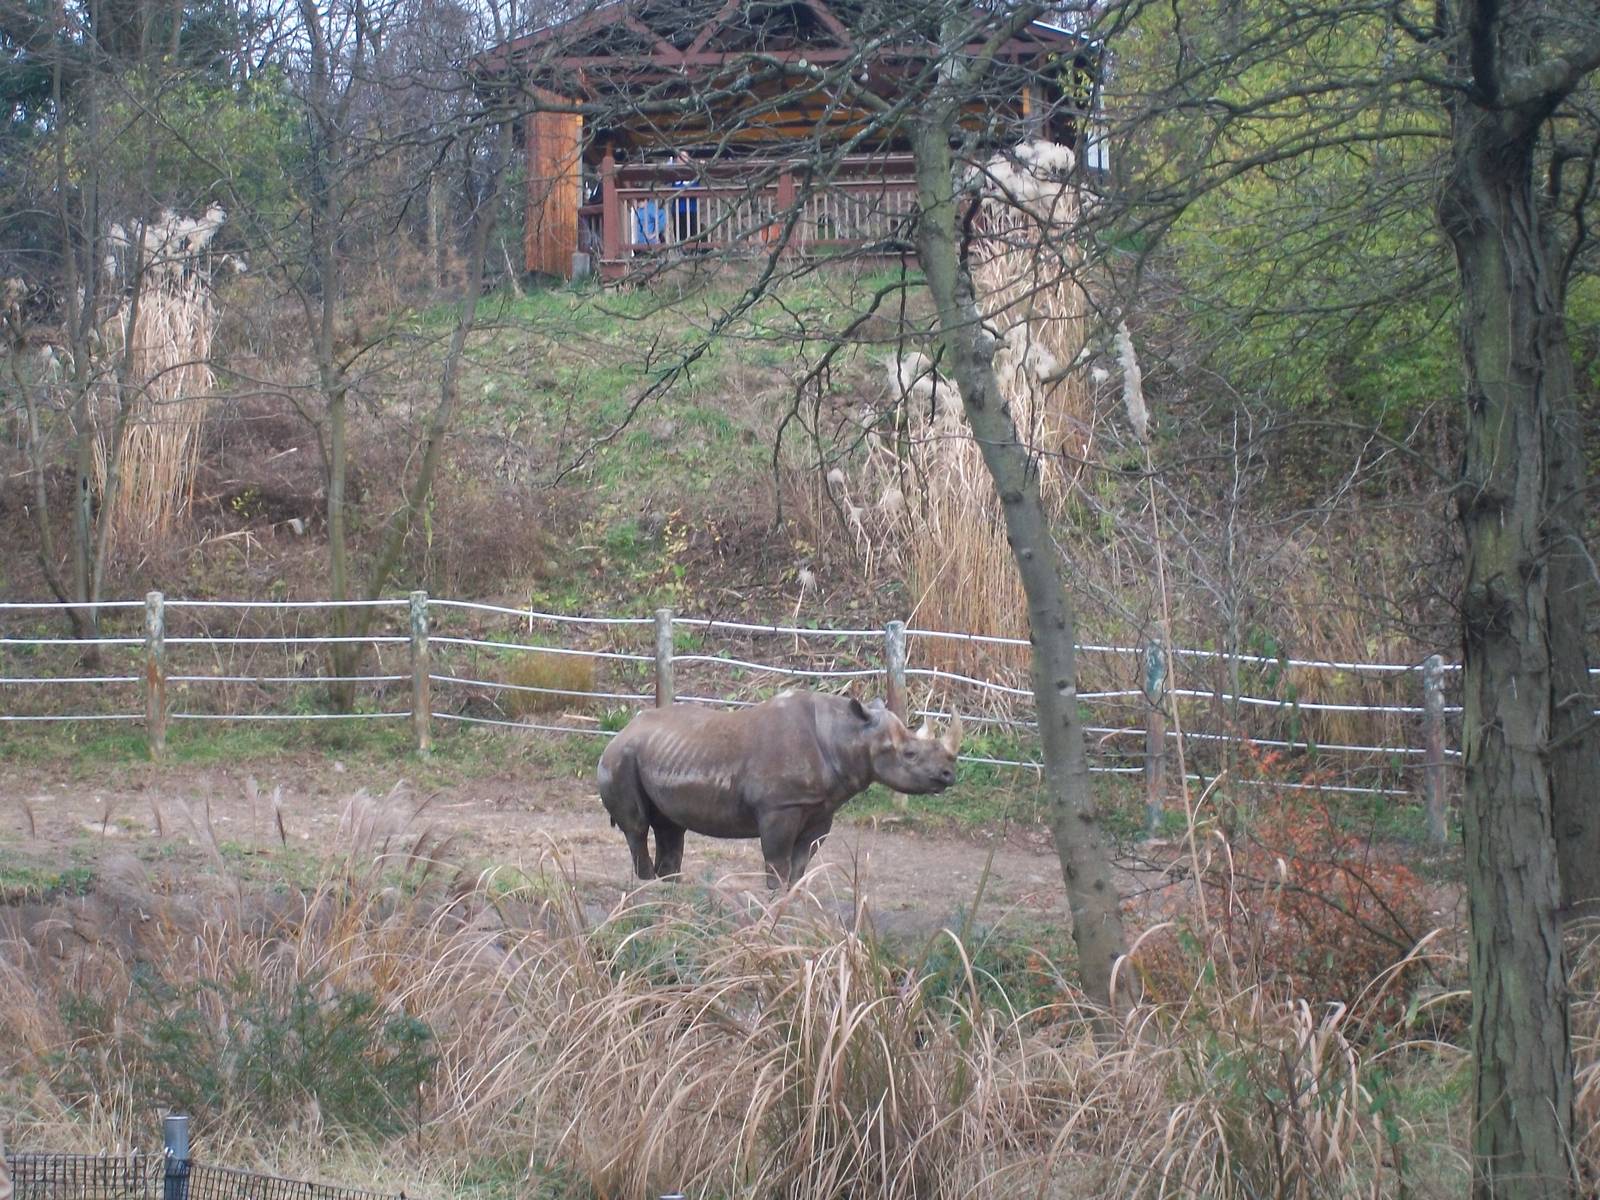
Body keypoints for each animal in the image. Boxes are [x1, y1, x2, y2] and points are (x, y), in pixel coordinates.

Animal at [596, 690, 962, 887]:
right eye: (909, 754)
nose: (949, 775)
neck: (847, 734)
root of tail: (622, 731)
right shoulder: (780, 806)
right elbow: (776, 862)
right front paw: (772, 906)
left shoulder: (821, 808)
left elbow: (800, 865)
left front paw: (792, 903)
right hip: (620, 758)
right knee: (637, 826)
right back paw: (647, 888)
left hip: (657, 751)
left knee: (671, 827)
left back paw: (668, 889)